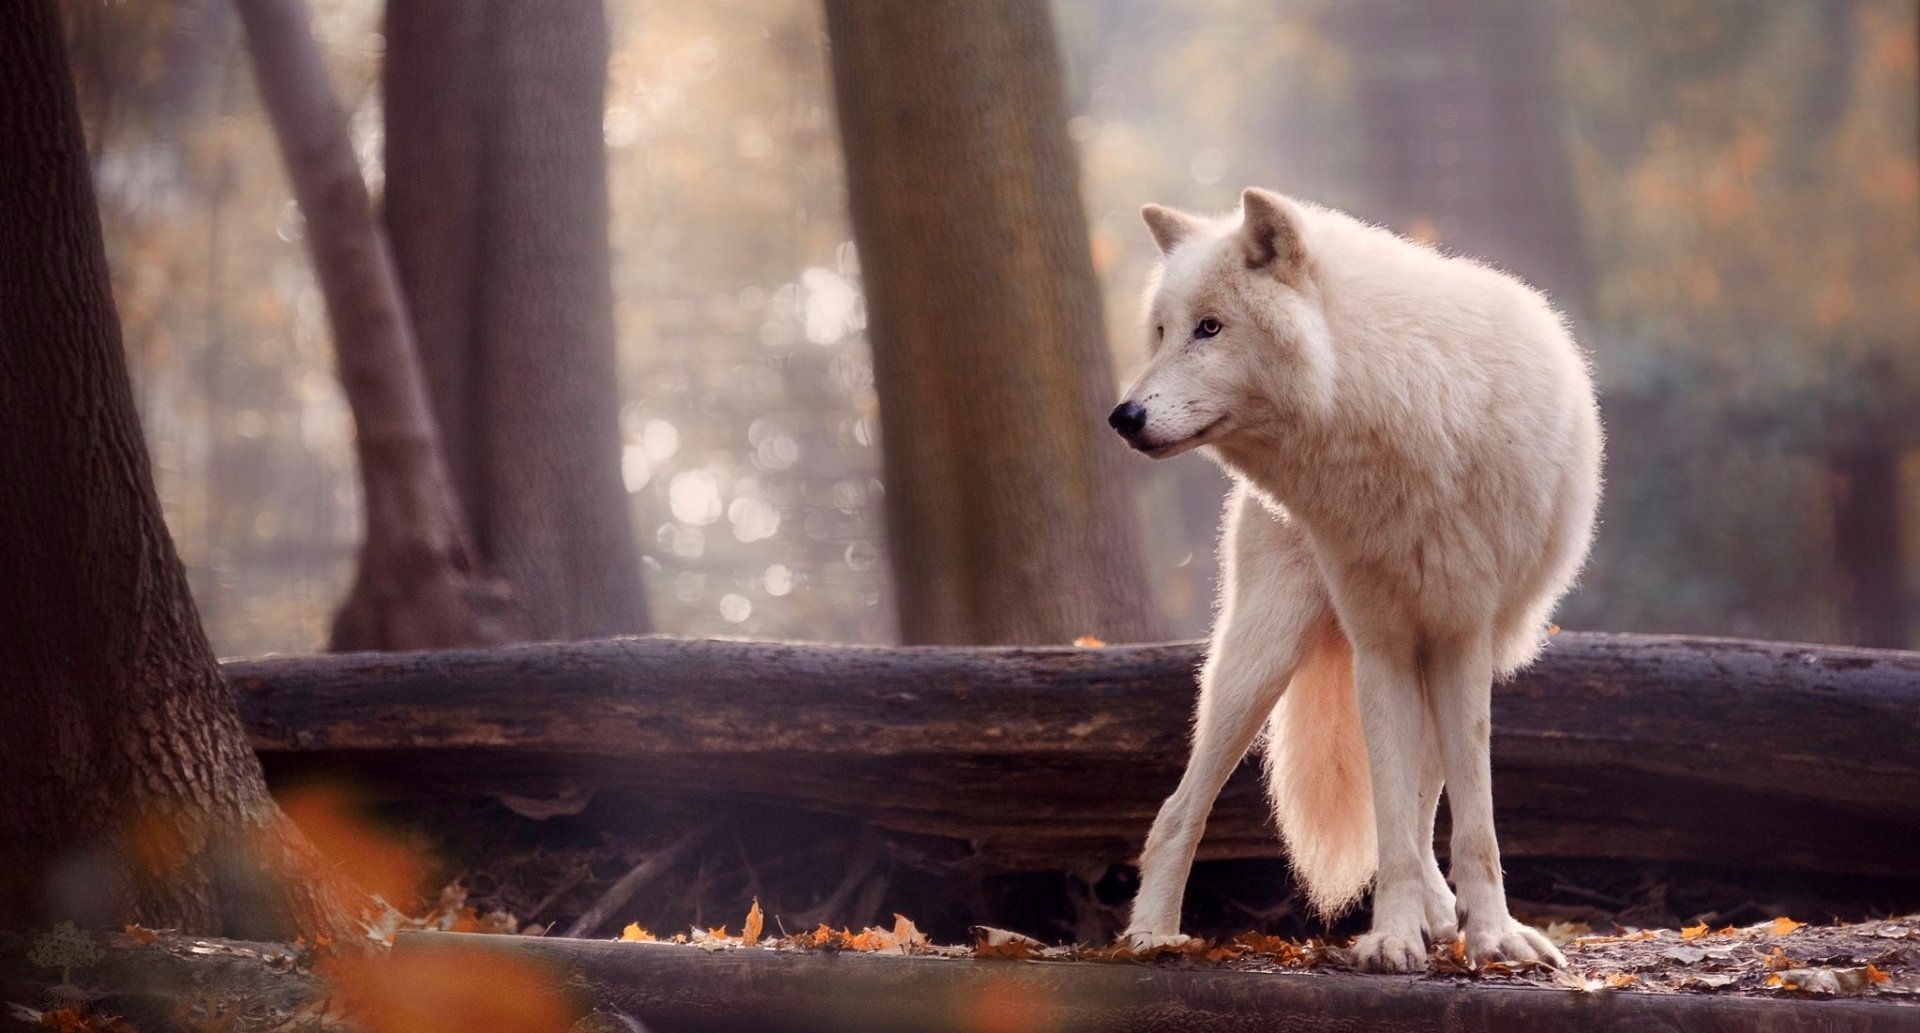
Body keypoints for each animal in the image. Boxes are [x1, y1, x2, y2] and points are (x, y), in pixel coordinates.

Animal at [1108, 188, 1602, 971]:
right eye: (1160, 333)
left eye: (1210, 328)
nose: (1124, 416)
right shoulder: (1381, 645)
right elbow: (1392, 820)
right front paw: (1393, 937)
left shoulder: (1460, 637)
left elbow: (1471, 822)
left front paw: (1492, 936)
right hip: (1259, 660)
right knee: (1178, 811)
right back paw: (1153, 935)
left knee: (1428, 799)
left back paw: (1443, 912)